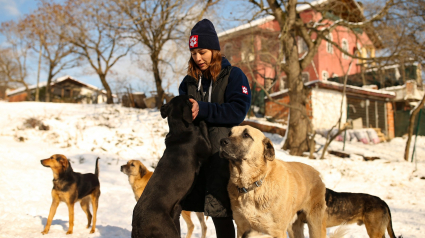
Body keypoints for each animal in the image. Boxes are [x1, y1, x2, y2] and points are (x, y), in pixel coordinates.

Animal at [131, 95, 210, 238]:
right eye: (188, 98)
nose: (193, 96)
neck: (179, 128)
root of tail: (137, 227)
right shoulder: (207, 149)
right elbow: (203, 128)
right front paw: (202, 120)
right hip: (170, 230)